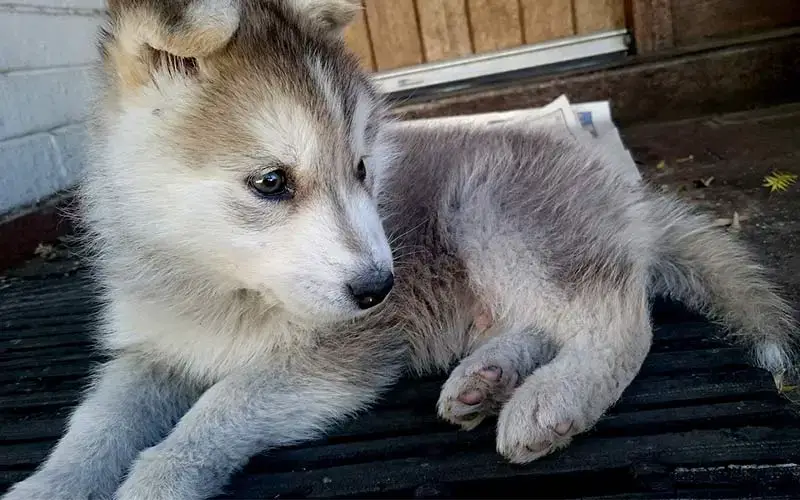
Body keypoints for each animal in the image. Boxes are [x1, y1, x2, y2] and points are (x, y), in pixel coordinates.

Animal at [4, 0, 792, 500]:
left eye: (362, 167)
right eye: (271, 182)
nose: (381, 289)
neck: (218, 284)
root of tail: (624, 193)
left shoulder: (336, 356)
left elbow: (222, 405)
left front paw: (159, 476)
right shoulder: (151, 355)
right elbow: (94, 423)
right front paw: (49, 485)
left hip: (493, 213)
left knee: (618, 315)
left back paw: (553, 399)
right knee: (541, 320)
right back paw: (486, 378)